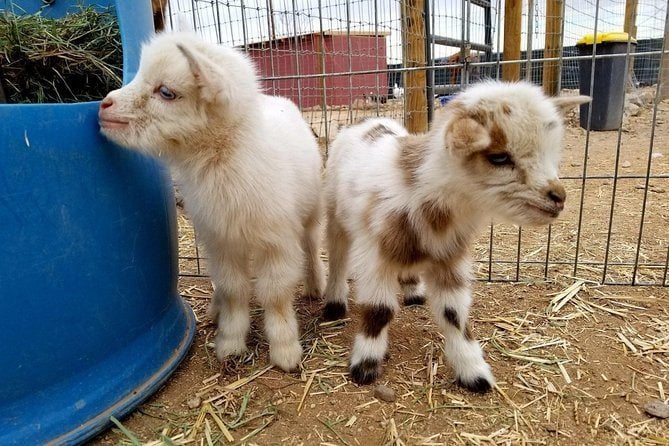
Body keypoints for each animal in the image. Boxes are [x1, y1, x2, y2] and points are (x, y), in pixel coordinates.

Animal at [100, 32, 326, 372]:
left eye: (166, 92)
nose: (104, 106)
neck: (225, 157)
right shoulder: (221, 240)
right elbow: (233, 289)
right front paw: (230, 343)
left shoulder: (277, 242)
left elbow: (275, 294)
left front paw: (285, 350)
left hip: (310, 211)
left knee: (311, 245)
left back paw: (315, 285)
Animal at [324, 82, 588, 392]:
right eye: (499, 157)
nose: (558, 198)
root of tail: (365, 121)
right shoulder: (376, 258)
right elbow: (380, 311)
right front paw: (365, 366)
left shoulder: (450, 257)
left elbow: (454, 314)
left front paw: (473, 372)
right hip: (334, 213)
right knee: (337, 257)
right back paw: (334, 304)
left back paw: (414, 291)